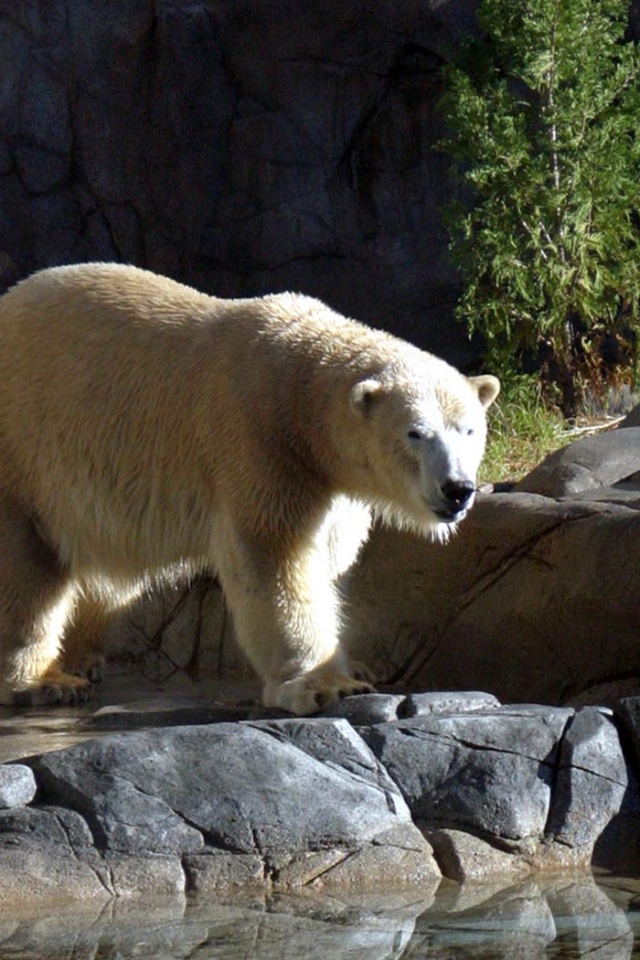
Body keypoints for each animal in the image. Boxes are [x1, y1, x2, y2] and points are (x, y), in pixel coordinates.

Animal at [0, 263, 499, 714]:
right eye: (416, 433)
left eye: (469, 430)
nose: (458, 489)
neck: (297, 389)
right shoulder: (259, 443)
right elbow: (275, 558)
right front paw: (325, 685)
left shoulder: (332, 483)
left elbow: (330, 557)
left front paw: (354, 666)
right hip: (23, 453)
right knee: (28, 572)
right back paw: (44, 682)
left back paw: (82, 660)